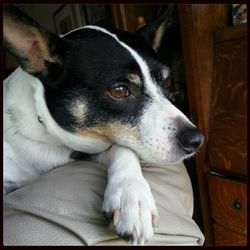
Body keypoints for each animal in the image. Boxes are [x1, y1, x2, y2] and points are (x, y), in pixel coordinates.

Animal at [2, 5, 204, 246]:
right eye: (119, 91)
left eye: (167, 81)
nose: (197, 140)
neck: (49, 136)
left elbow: (122, 149)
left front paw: (132, 197)